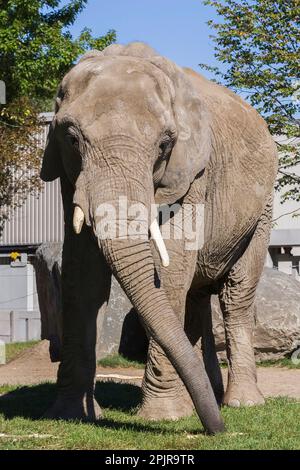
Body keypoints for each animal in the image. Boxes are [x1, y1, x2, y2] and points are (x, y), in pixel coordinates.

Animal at [39, 43, 276, 434]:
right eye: (72, 139)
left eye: (165, 145)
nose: (218, 430)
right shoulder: (69, 177)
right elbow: (82, 276)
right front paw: (70, 414)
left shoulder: (194, 172)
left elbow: (170, 269)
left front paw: (165, 416)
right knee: (196, 298)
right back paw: (210, 395)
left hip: (262, 208)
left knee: (236, 294)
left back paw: (241, 402)